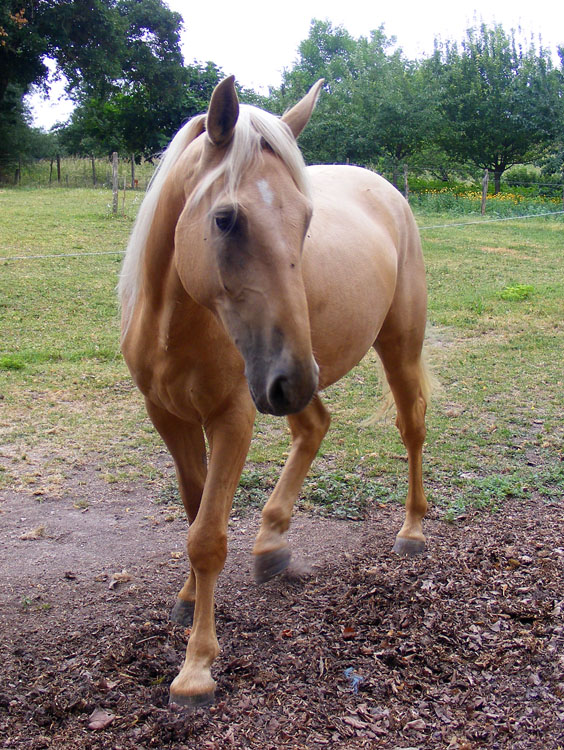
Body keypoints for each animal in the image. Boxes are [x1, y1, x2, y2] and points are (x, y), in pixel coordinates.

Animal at [119, 76, 431, 708]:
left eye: (308, 219)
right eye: (225, 219)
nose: (296, 377)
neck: (177, 323)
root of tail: (388, 189)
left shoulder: (232, 417)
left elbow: (208, 536)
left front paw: (196, 668)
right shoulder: (169, 417)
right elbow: (194, 512)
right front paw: (188, 599)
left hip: (390, 347)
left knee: (412, 424)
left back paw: (411, 530)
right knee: (313, 426)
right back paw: (271, 543)